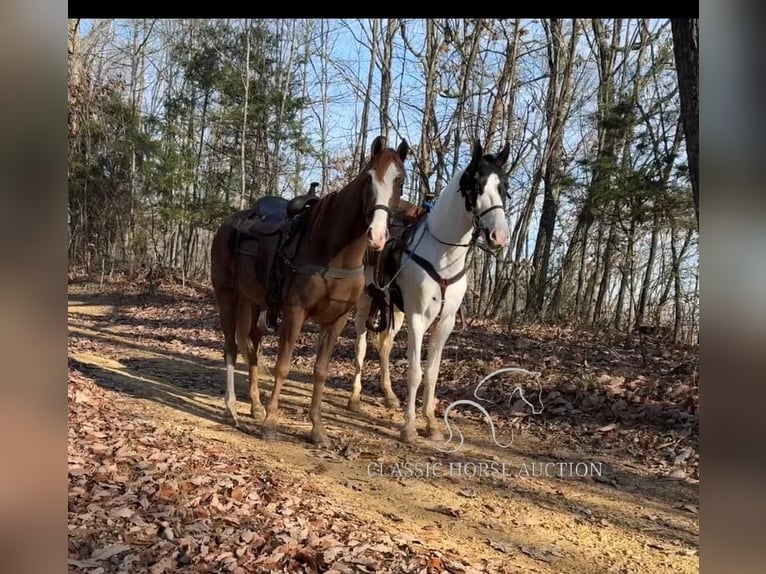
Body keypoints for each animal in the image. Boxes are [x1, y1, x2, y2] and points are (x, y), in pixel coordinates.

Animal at [210, 137, 412, 448]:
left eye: (400, 181)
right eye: (368, 178)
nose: (376, 236)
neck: (331, 251)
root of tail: (229, 223)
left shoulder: (336, 321)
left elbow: (321, 371)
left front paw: (317, 430)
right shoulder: (295, 313)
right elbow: (282, 366)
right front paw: (271, 424)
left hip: (252, 303)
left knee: (252, 347)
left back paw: (255, 406)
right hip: (227, 297)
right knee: (231, 347)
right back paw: (231, 408)